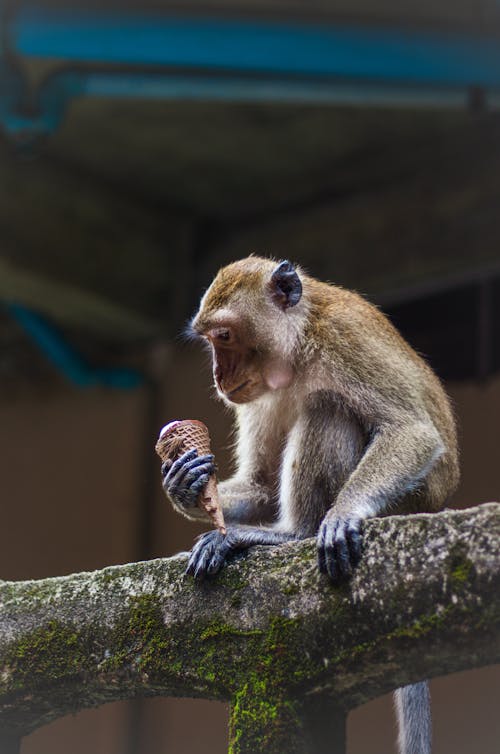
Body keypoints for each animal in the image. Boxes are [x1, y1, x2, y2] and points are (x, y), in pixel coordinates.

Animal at [162, 254, 458, 752]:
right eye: (211, 341)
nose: (219, 377)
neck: (297, 350)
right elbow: (261, 483)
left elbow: (412, 432)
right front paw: (186, 485)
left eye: (225, 336)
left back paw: (285, 535)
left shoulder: (345, 339)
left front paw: (342, 514)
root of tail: (426, 512)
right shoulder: (256, 395)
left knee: (329, 407)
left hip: (404, 498)